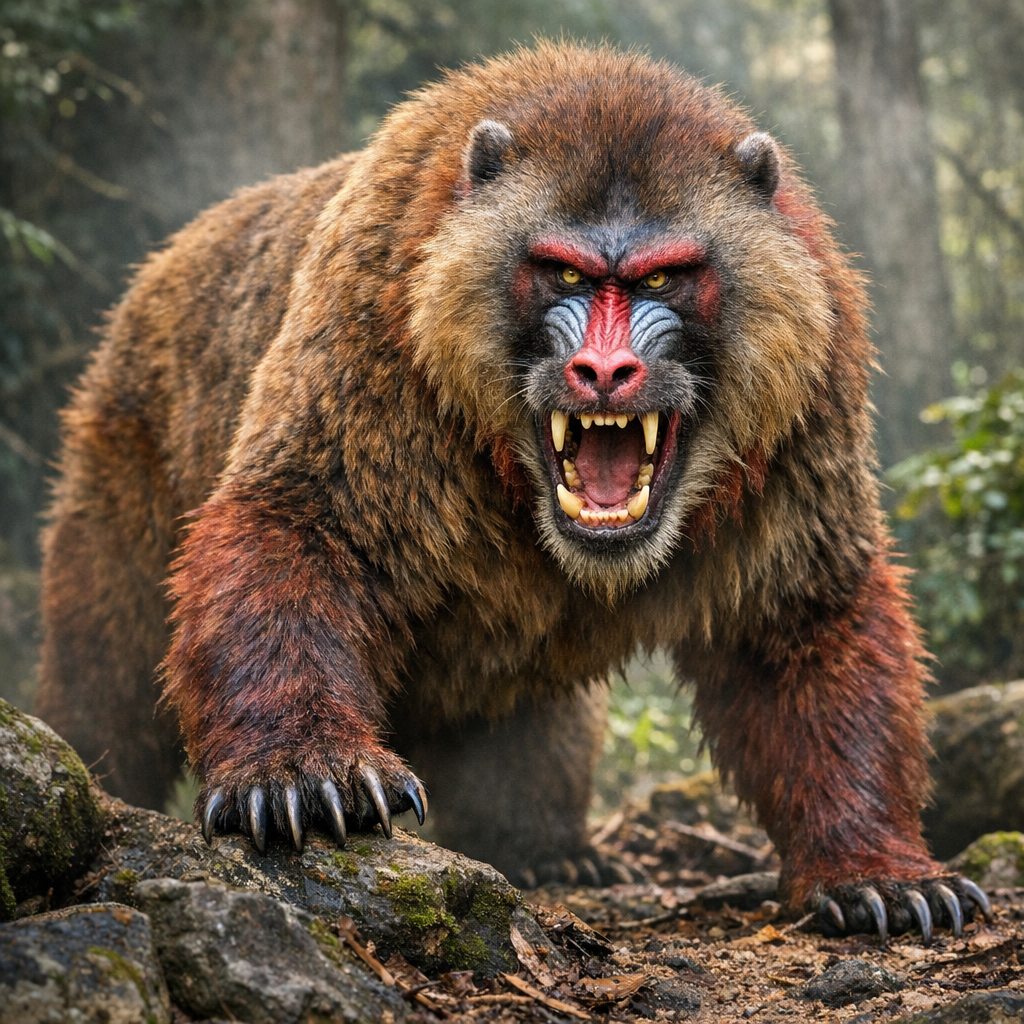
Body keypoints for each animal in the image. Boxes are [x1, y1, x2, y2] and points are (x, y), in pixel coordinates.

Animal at [36, 42, 991, 940]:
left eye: (658, 277)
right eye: (566, 273)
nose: (605, 369)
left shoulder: (805, 399)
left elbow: (804, 616)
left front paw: (876, 867)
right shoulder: (377, 326)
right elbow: (300, 526)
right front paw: (303, 768)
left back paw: (543, 846)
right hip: (122, 436)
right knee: (108, 655)